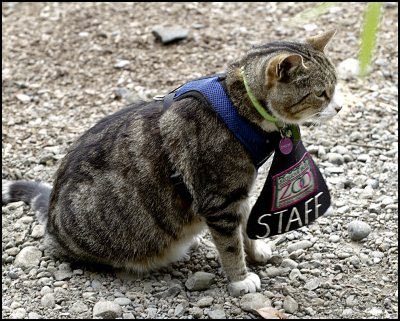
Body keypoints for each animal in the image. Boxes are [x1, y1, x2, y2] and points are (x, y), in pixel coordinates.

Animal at [1, 29, 342, 296]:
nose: (339, 107)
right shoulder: (219, 199)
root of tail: (52, 215)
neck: (236, 105)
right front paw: (241, 279)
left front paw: (255, 252)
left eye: (335, 86)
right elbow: (231, 246)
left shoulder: (239, 192)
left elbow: (246, 228)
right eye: (321, 93)